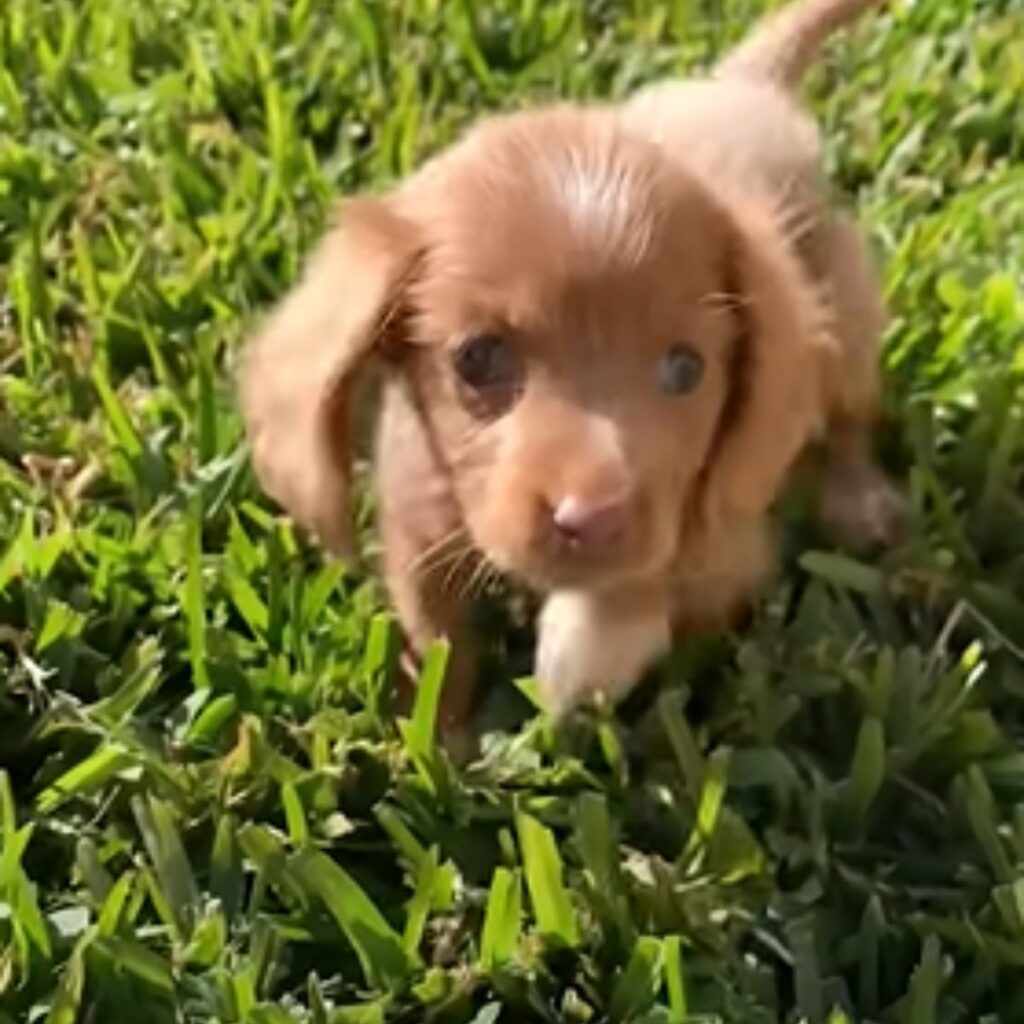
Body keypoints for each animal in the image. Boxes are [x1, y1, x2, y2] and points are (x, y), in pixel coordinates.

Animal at [237, 0, 897, 737]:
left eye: (686, 368)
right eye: (477, 357)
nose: (592, 520)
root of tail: (741, 85)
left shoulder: (724, 552)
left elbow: (654, 600)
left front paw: (584, 653)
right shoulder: (419, 542)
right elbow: (441, 649)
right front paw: (440, 744)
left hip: (847, 322)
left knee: (849, 417)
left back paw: (859, 503)